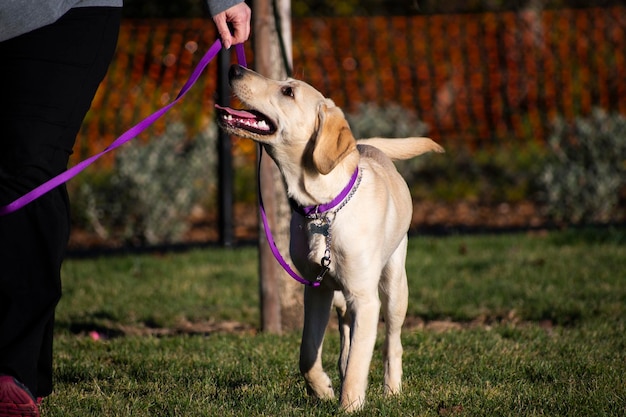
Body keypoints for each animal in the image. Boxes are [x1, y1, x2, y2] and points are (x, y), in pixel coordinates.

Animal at [217, 64, 442, 410]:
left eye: (288, 91)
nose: (234, 68)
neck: (322, 208)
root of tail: (365, 145)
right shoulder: (317, 290)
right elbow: (307, 352)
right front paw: (321, 389)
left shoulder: (365, 298)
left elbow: (361, 361)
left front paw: (349, 405)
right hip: (339, 297)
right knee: (346, 332)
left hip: (393, 285)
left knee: (392, 341)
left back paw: (392, 389)